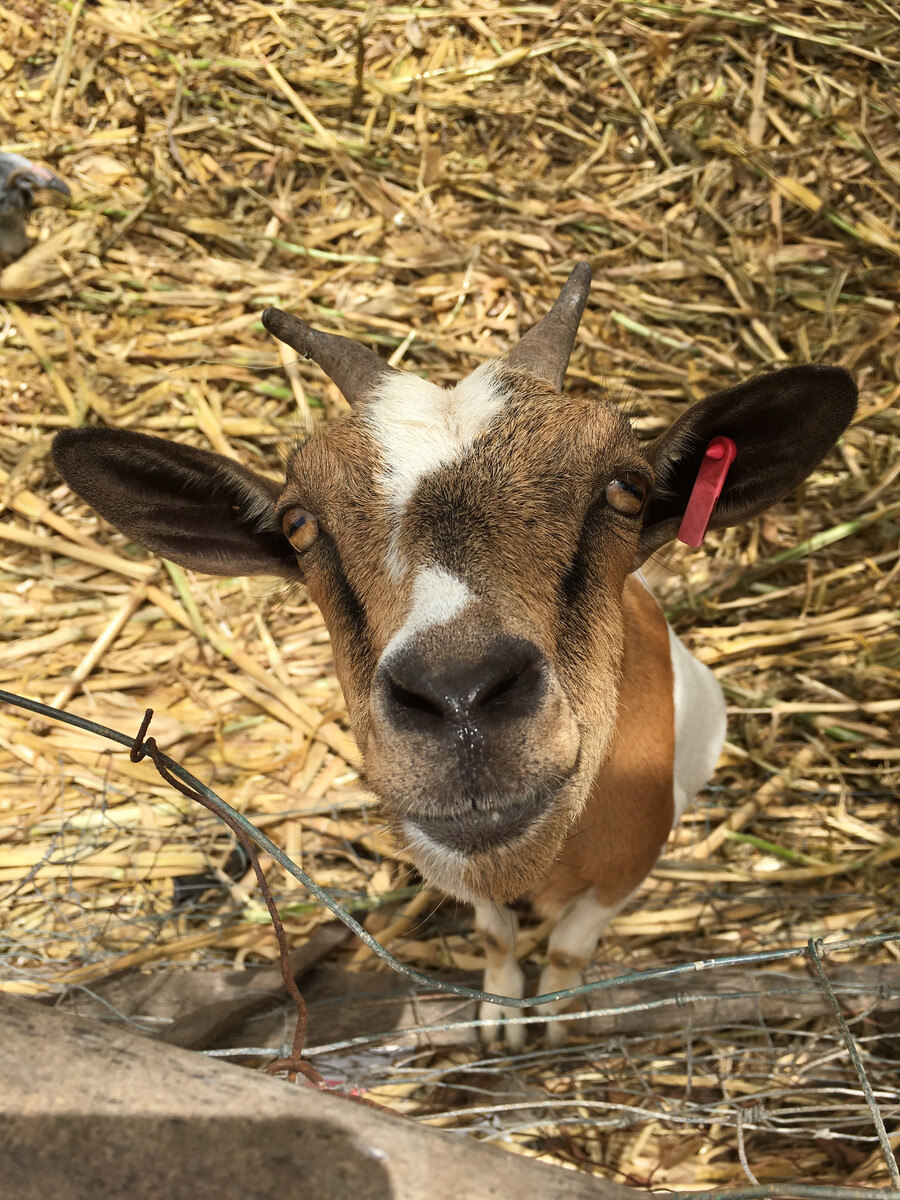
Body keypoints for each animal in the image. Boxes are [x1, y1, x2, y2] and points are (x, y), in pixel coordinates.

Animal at [51, 265, 857, 1047]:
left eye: (627, 488)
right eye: (299, 524)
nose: (460, 697)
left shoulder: (628, 866)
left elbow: (569, 948)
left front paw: (560, 1015)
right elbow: (497, 938)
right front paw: (501, 1018)